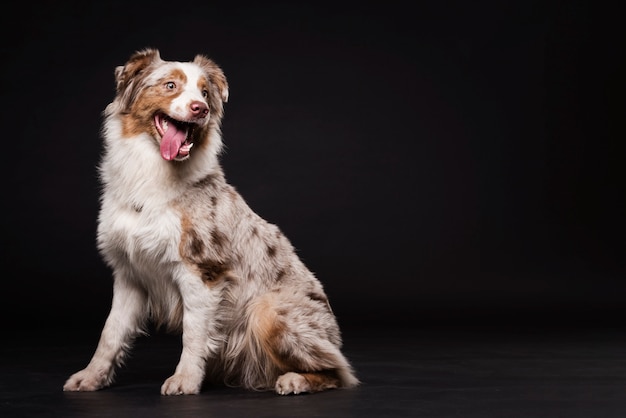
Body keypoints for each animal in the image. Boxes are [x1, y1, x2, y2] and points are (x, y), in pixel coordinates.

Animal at [63, 49, 358, 396]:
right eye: (170, 85)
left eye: (204, 93)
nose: (199, 109)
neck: (153, 174)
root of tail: (334, 335)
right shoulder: (129, 273)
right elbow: (110, 333)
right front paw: (90, 376)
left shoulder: (202, 270)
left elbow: (194, 332)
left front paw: (186, 380)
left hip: (267, 311)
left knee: (339, 371)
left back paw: (295, 379)